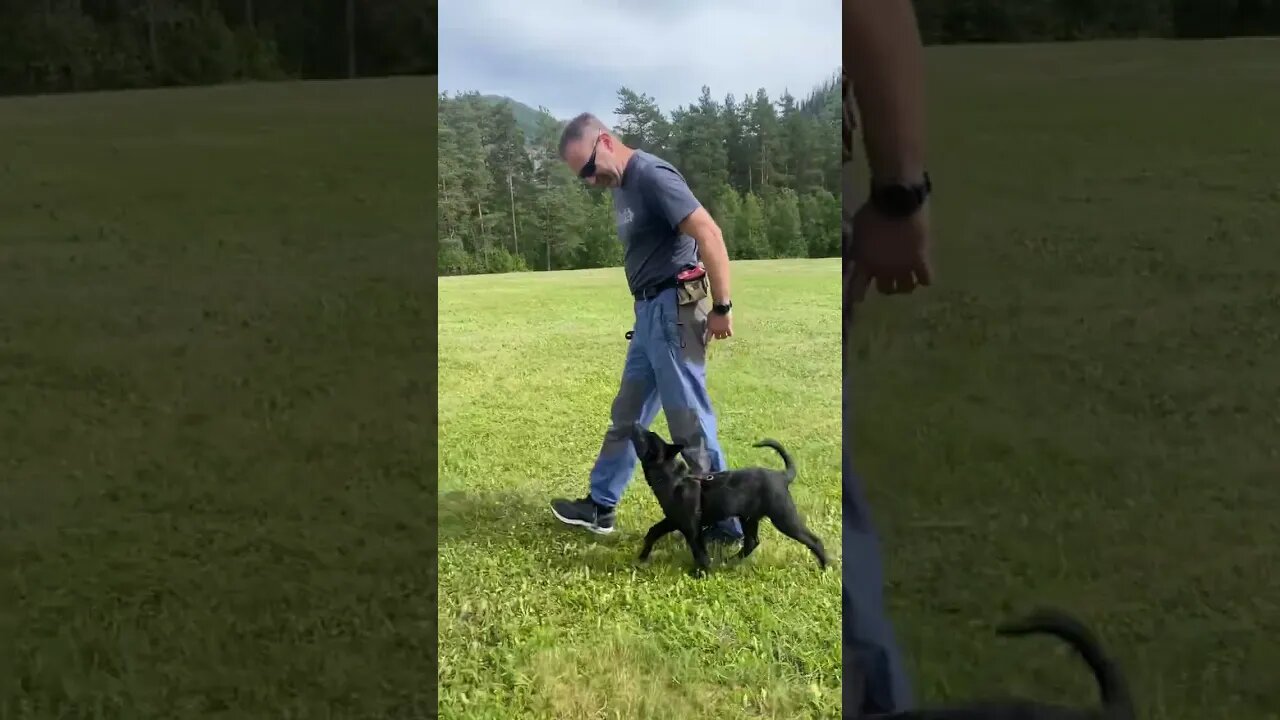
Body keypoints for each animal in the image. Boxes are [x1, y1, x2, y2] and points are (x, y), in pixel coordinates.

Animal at [629, 425, 829, 571]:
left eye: (646, 438)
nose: (636, 423)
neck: (674, 478)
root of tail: (782, 476)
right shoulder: (673, 519)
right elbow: (653, 531)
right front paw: (642, 557)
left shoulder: (691, 527)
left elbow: (699, 552)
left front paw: (702, 574)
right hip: (749, 518)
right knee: (751, 542)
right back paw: (729, 561)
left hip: (784, 518)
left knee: (814, 540)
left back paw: (825, 567)